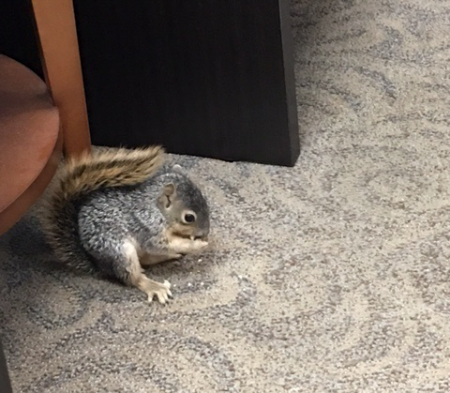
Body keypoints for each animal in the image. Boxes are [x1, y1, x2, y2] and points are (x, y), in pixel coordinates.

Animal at [36, 146, 209, 304]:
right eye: (189, 217)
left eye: (204, 199)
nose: (206, 232)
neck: (156, 209)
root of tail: (98, 265)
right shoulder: (147, 228)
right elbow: (160, 244)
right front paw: (196, 244)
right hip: (121, 253)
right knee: (133, 277)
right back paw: (154, 286)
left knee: (146, 260)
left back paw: (169, 256)